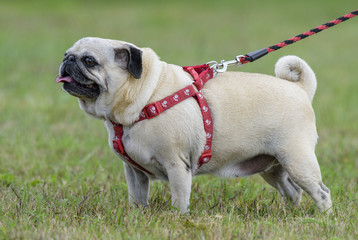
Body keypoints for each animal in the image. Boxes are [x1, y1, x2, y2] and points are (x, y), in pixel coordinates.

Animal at [56, 36, 332, 213]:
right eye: (67, 54)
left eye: (89, 61)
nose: (67, 60)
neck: (146, 97)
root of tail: (299, 89)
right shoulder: (134, 172)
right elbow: (137, 198)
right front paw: (135, 217)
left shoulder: (177, 165)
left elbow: (179, 200)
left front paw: (178, 219)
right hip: (273, 167)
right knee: (293, 192)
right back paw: (291, 215)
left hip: (297, 160)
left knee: (321, 192)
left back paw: (324, 219)